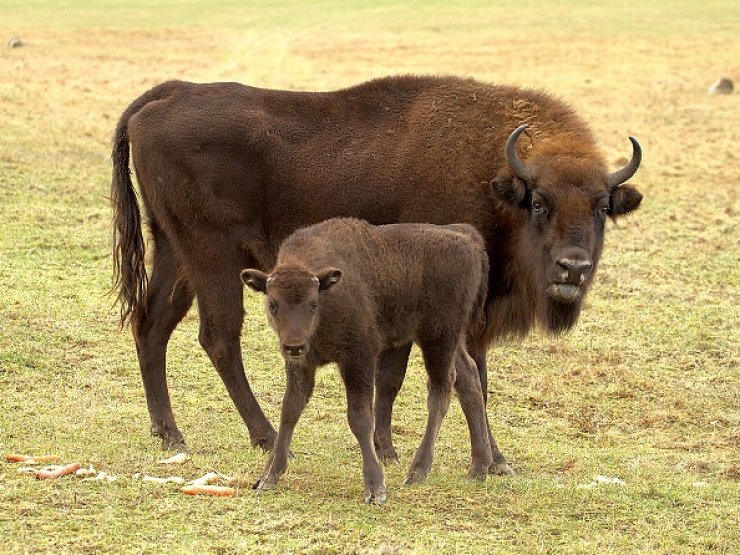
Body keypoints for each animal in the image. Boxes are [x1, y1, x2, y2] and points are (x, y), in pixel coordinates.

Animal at [110, 75, 640, 474]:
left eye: (601, 207)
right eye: (539, 202)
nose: (573, 267)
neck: (494, 178)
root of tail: (167, 94)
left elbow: (436, 377)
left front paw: (477, 457)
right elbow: (416, 375)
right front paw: (408, 451)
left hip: (173, 252)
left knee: (151, 326)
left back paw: (169, 433)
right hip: (214, 258)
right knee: (219, 337)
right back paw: (265, 437)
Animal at [243, 218, 494, 504]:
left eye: (313, 303)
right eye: (273, 303)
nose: (293, 345)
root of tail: (465, 236)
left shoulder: (358, 359)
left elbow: (360, 418)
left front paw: (375, 488)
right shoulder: (301, 365)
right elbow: (290, 411)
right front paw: (268, 476)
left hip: (438, 337)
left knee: (441, 390)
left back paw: (418, 471)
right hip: (451, 340)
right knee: (469, 379)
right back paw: (478, 468)